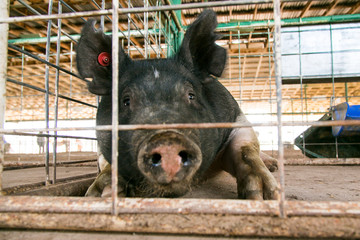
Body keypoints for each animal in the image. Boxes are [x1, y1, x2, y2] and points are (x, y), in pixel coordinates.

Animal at [76, 10, 278, 199]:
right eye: (126, 101)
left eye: (191, 95)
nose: (167, 141)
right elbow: (108, 165)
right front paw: (99, 194)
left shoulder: (237, 118)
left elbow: (245, 150)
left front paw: (264, 196)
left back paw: (273, 165)